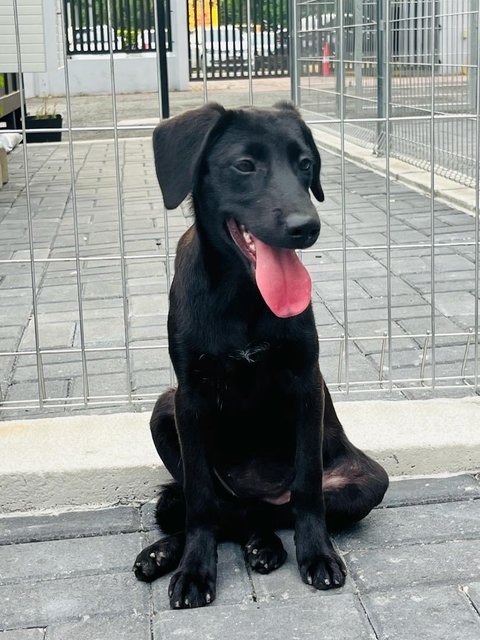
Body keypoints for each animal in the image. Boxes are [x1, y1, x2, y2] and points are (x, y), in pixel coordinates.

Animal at [133, 102, 388, 608]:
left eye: (306, 164)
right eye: (245, 165)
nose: (306, 227)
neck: (242, 297)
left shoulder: (306, 385)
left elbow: (307, 490)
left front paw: (318, 555)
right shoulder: (189, 398)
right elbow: (201, 503)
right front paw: (195, 568)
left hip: (370, 481)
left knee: (266, 512)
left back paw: (263, 545)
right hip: (163, 410)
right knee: (223, 507)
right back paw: (167, 552)